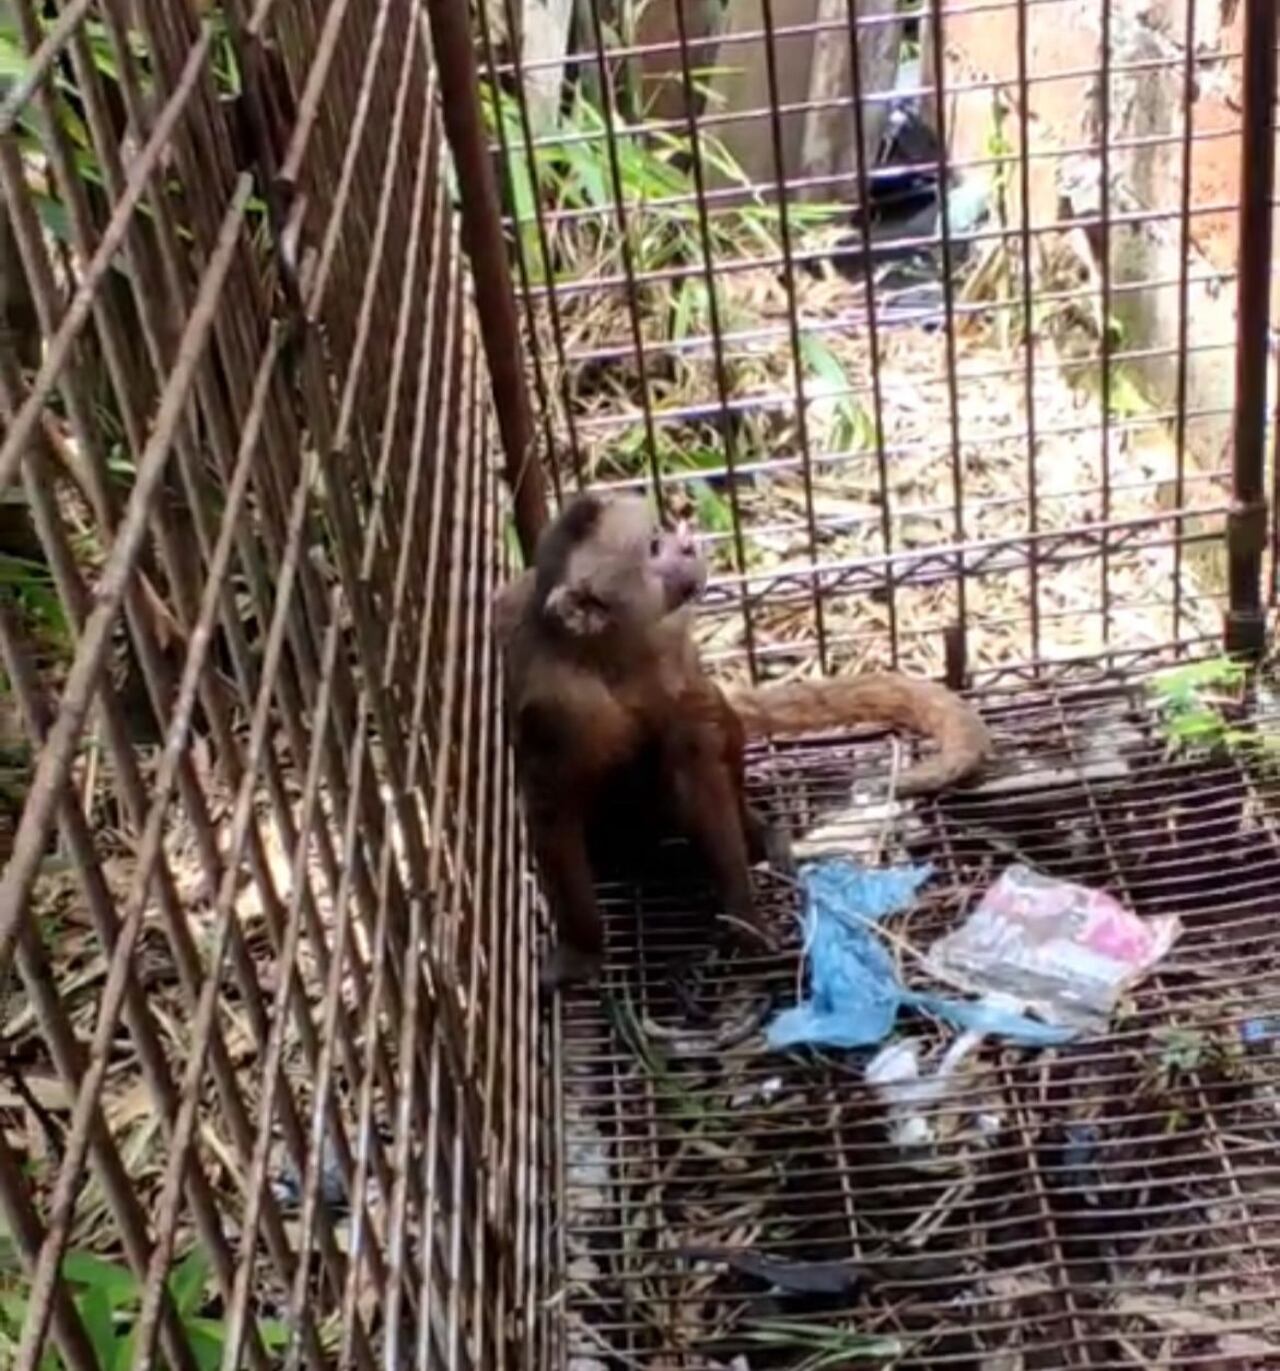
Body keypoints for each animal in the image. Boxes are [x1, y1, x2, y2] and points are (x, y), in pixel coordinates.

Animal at [495, 492, 992, 990]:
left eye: (660, 533)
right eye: (654, 546)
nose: (686, 545)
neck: (606, 656)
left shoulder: (670, 648)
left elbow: (700, 771)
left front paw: (742, 911)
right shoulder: (554, 702)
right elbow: (551, 812)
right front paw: (581, 949)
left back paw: (758, 834)